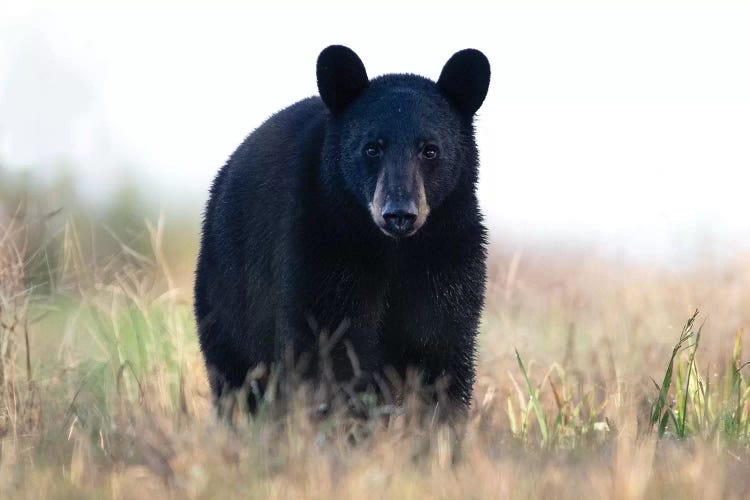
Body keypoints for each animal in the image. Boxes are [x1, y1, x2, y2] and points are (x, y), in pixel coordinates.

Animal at [194, 46, 494, 414]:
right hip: (227, 290)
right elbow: (330, 349)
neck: (393, 250)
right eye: (372, 147)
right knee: (236, 374)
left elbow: (442, 349)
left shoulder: (449, 252)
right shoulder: (322, 246)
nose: (399, 214)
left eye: (430, 150)